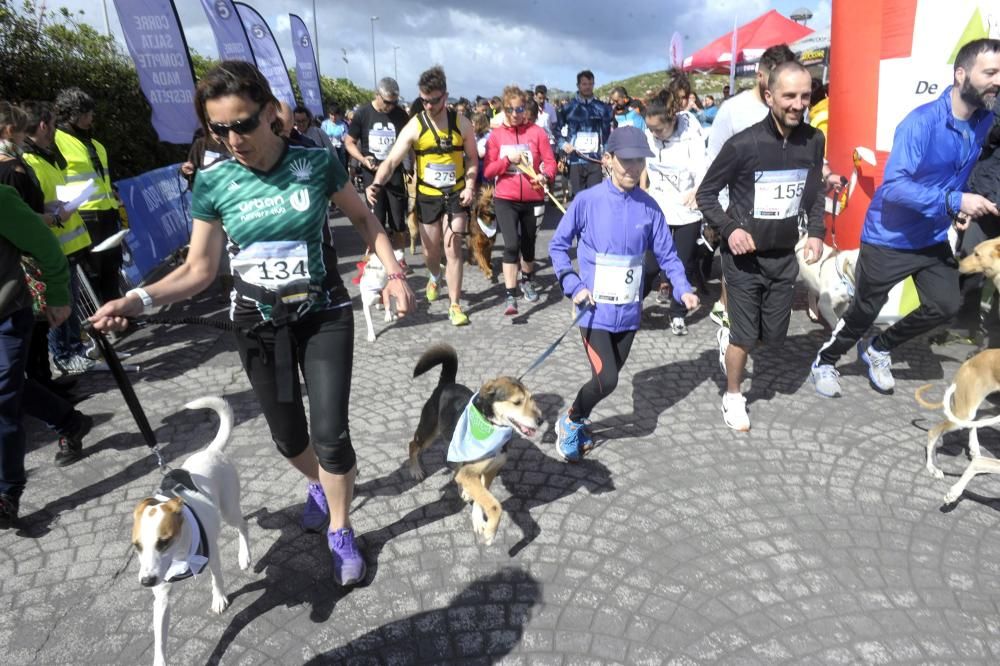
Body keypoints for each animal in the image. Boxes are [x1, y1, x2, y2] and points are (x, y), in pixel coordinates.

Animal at [131, 396, 250, 660]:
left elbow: (217, 579)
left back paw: (245, 555)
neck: (179, 554)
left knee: (243, 525)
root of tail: (211, 451)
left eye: (163, 542)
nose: (146, 582)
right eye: (137, 547)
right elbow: (160, 642)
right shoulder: (161, 597)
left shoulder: (212, 556)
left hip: (229, 510)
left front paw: (219, 598)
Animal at [406, 344, 544, 544]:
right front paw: (490, 531)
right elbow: (494, 505)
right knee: (413, 445)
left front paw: (479, 520)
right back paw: (415, 470)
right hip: (429, 432)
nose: (541, 420)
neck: (491, 426)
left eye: (532, 398)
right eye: (517, 402)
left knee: (455, 470)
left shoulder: (490, 469)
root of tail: (447, 383)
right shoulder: (471, 471)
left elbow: (482, 496)